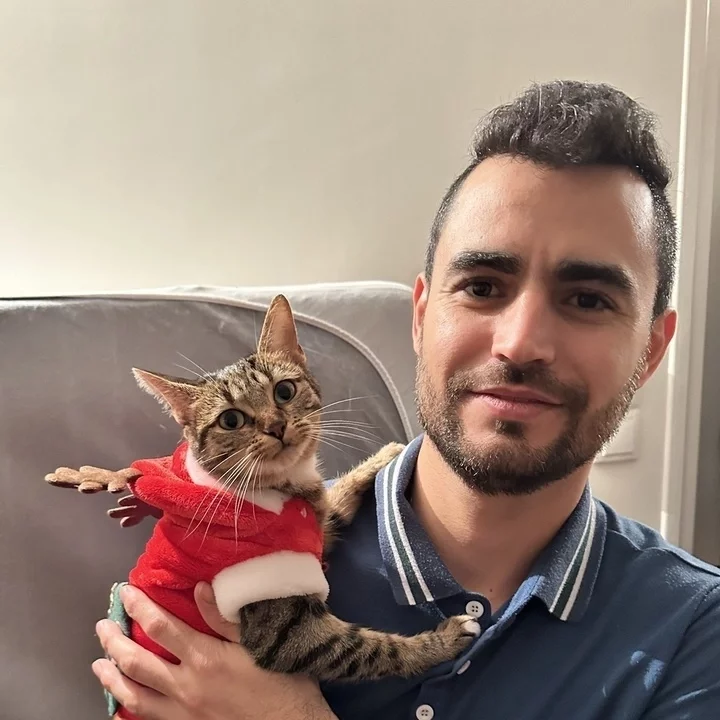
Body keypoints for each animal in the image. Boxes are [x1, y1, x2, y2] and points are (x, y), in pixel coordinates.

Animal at [46, 294, 479, 691]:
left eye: (284, 391)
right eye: (230, 420)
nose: (276, 426)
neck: (282, 489)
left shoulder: (316, 528)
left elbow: (335, 501)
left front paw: (381, 459)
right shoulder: (284, 631)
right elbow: (373, 650)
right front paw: (442, 640)